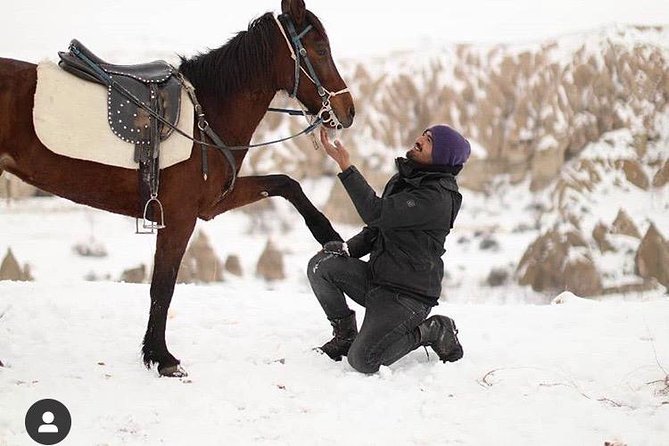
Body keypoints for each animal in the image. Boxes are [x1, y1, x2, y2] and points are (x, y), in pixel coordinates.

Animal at [0, 0, 354, 376]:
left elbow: (286, 183)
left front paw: (328, 235)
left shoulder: (213, 203)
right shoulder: (179, 217)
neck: (208, 117)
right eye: (321, 49)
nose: (348, 111)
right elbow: (163, 286)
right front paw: (161, 356)